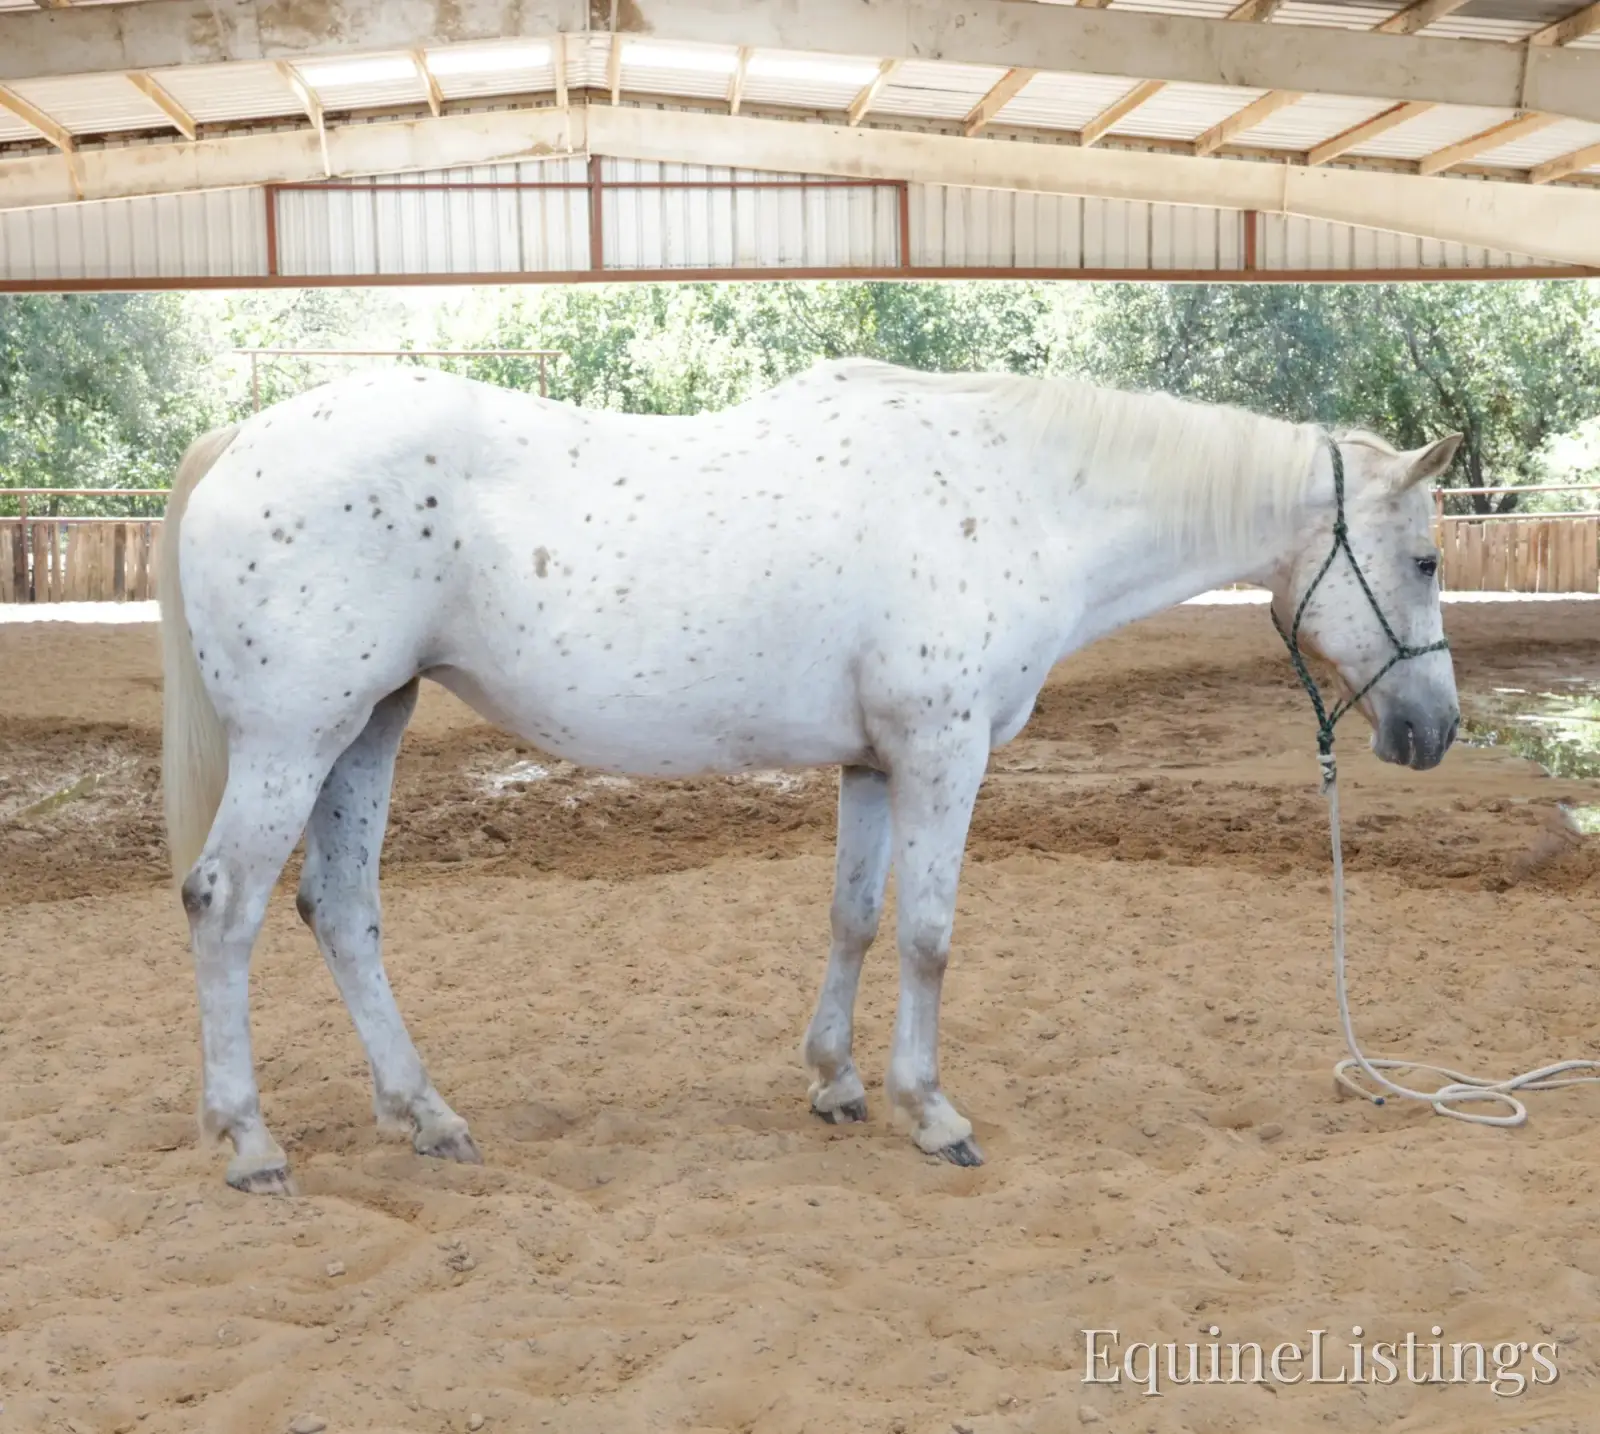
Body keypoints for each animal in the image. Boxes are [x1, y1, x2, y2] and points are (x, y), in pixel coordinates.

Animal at [158, 359, 1461, 1194]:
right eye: (1427, 558)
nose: (1434, 729)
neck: (1015, 499)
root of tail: (247, 440)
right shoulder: (941, 751)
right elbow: (928, 933)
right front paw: (930, 1112)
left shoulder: (874, 767)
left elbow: (853, 918)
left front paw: (836, 1085)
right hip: (296, 738)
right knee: (225, 908)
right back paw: (251, 1142)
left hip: (368, 726)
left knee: (342, 910)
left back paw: (423, 1114)